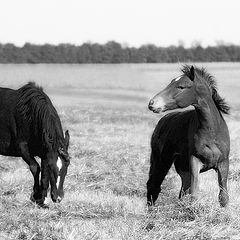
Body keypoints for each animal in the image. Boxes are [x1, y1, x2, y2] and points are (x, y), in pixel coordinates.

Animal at [147, 65, 230, 206]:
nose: (152, 104)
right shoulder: (195, 161)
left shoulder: (223, 163)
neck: (212, 132)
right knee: (153, 186)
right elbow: (194, 194)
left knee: (182, 191)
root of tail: (163, 120)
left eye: (181, 87)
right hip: (161, 160)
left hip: (182, 169)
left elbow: (223, 197)